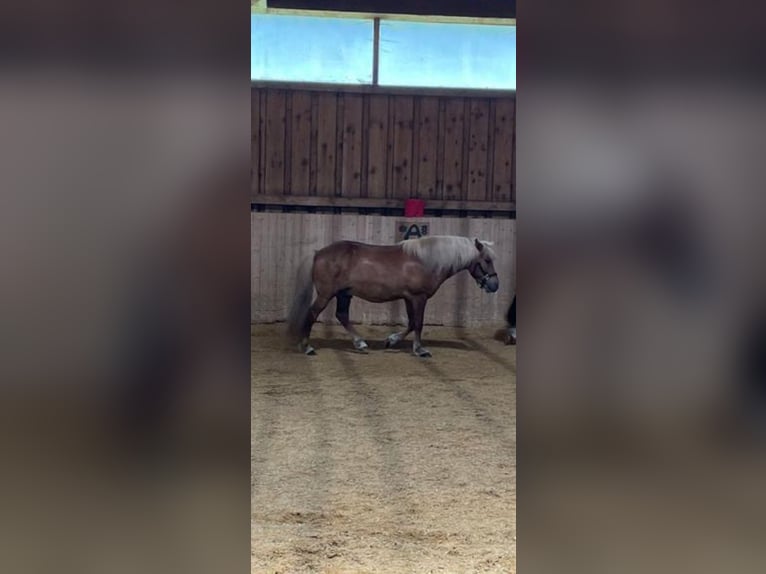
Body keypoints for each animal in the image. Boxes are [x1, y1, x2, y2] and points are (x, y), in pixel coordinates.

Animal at [287, 235, 499, 357]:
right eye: (487, 260)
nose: (495, 285)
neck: (425, 260)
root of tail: (318, 253)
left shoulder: (408, 298)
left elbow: (412, 323)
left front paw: (391, 340)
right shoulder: (418, 297)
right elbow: (418, 323)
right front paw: (420, 350)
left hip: (344, 294)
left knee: (342, 316)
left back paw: (360, 344)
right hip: (326, 294)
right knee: (312, 314)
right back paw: (307, 347)